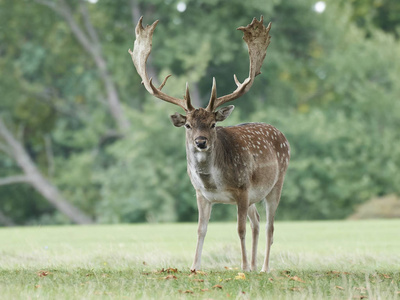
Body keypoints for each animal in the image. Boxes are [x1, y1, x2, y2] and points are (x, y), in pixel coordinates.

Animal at [130, 17, 290, 274]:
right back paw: (255, 265)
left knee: (269, 226)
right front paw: (194, 266)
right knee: (256, 222)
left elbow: (239, 229)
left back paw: (263, 267)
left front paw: (242, 266)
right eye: (188, 125)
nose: (201, 141)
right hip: (255, 194)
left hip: (277, 181)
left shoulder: (242, 189)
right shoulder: (201, 194)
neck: (213, 181)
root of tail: (282, 134)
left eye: (213, 124)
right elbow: (201, 229)